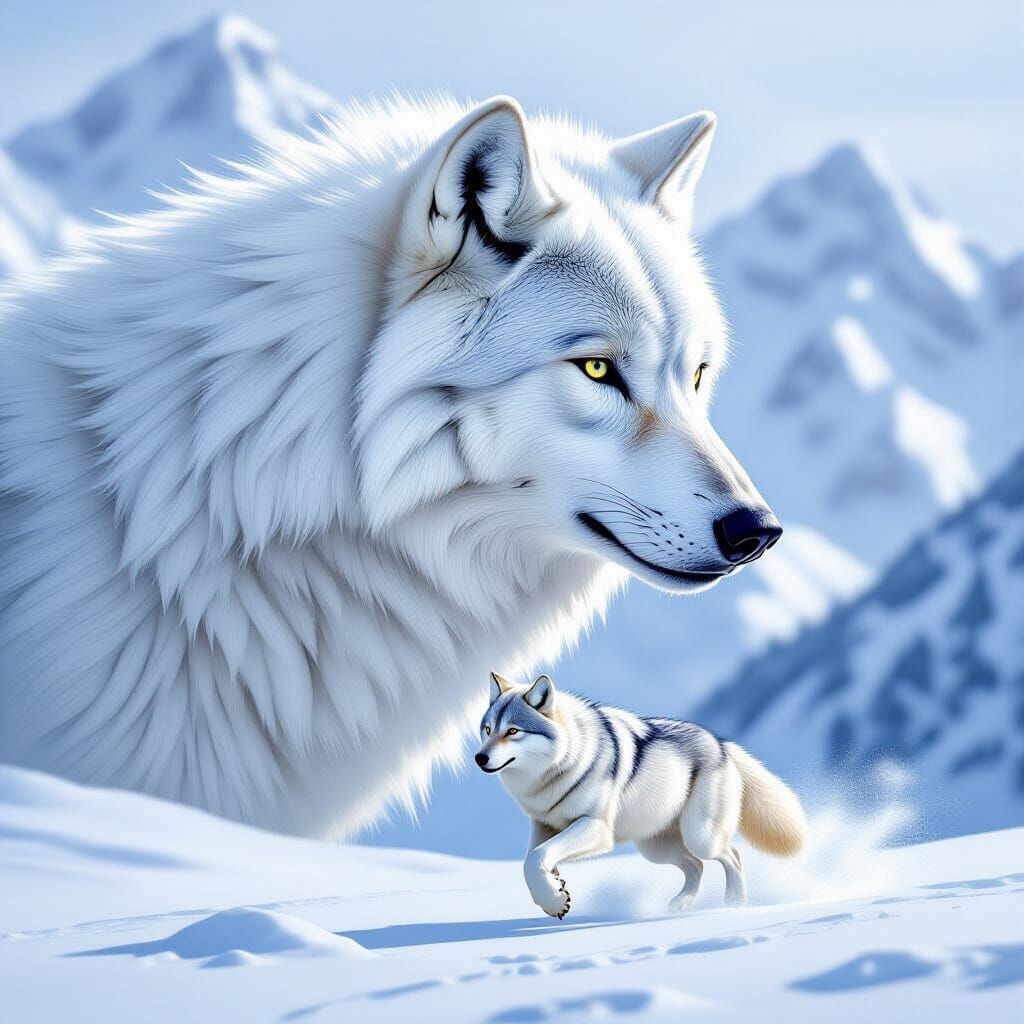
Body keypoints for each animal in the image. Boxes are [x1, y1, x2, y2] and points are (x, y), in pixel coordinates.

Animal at [477, 672, 806, 917]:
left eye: (513, 731)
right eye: (488, 729)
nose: (480, 758)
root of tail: (723, 744)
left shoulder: (596, 827)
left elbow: (536, 858)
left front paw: (554, 899)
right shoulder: (544, 825)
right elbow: (531, 861)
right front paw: (555, 892)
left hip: (700, 837)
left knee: (732, 855)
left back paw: (734, 904)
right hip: (655, 849)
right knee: (696, 866)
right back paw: (680, 905)